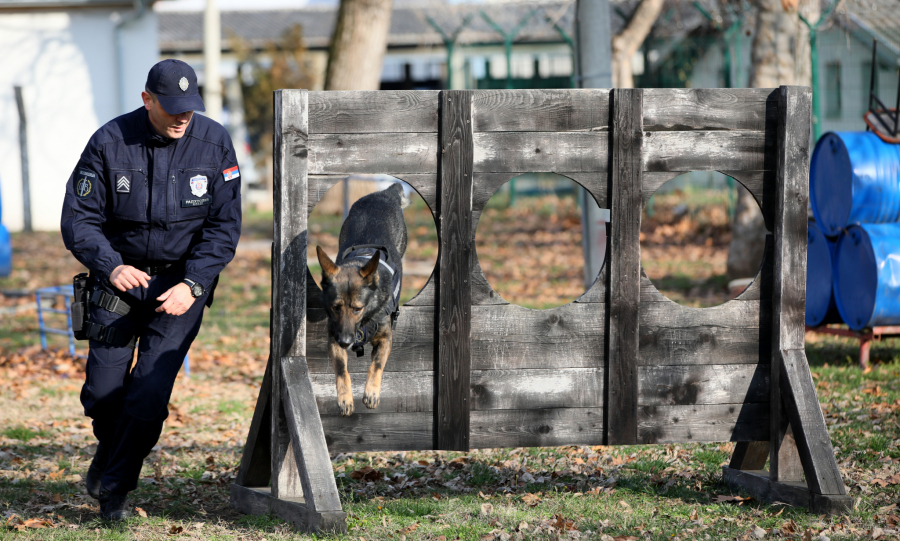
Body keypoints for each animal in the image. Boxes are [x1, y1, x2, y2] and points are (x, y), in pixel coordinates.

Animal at [314, 184, 410, 416]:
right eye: (336, 308)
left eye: (357, 309)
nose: (346, 341)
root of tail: (384, 193)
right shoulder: (333, 339)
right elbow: (342, 370)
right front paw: (345, 398)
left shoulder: (385, 338)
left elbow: (376, 365)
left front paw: (371, 393)